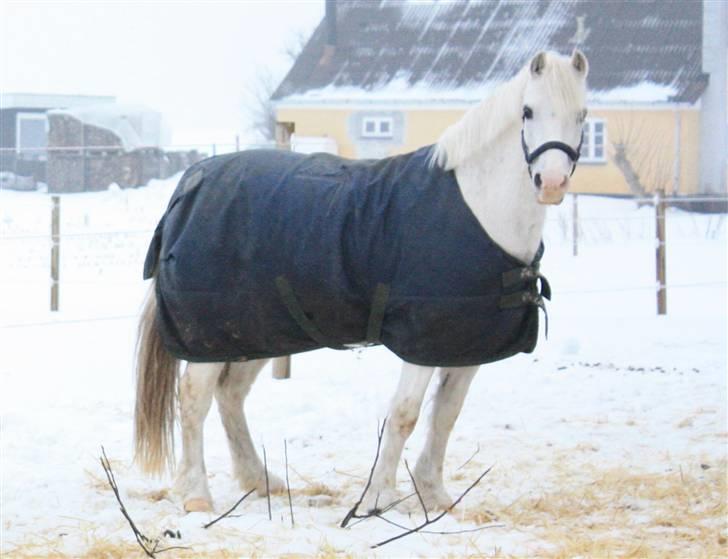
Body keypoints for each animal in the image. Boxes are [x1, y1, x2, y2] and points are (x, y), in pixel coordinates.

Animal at [134, 50, 589, 514]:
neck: (477, 210)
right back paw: (196, 496)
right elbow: (405, 414)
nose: (552, 184)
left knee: (231, 396)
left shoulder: (464, 344)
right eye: (528, 111)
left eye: (582, 114)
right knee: (194, 399)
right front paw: (378, 497)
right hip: (208, 335)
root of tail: (189, 186)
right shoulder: (421, 342)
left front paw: (434, 494)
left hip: (253, 332)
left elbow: (446, 414)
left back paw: (259, 479)